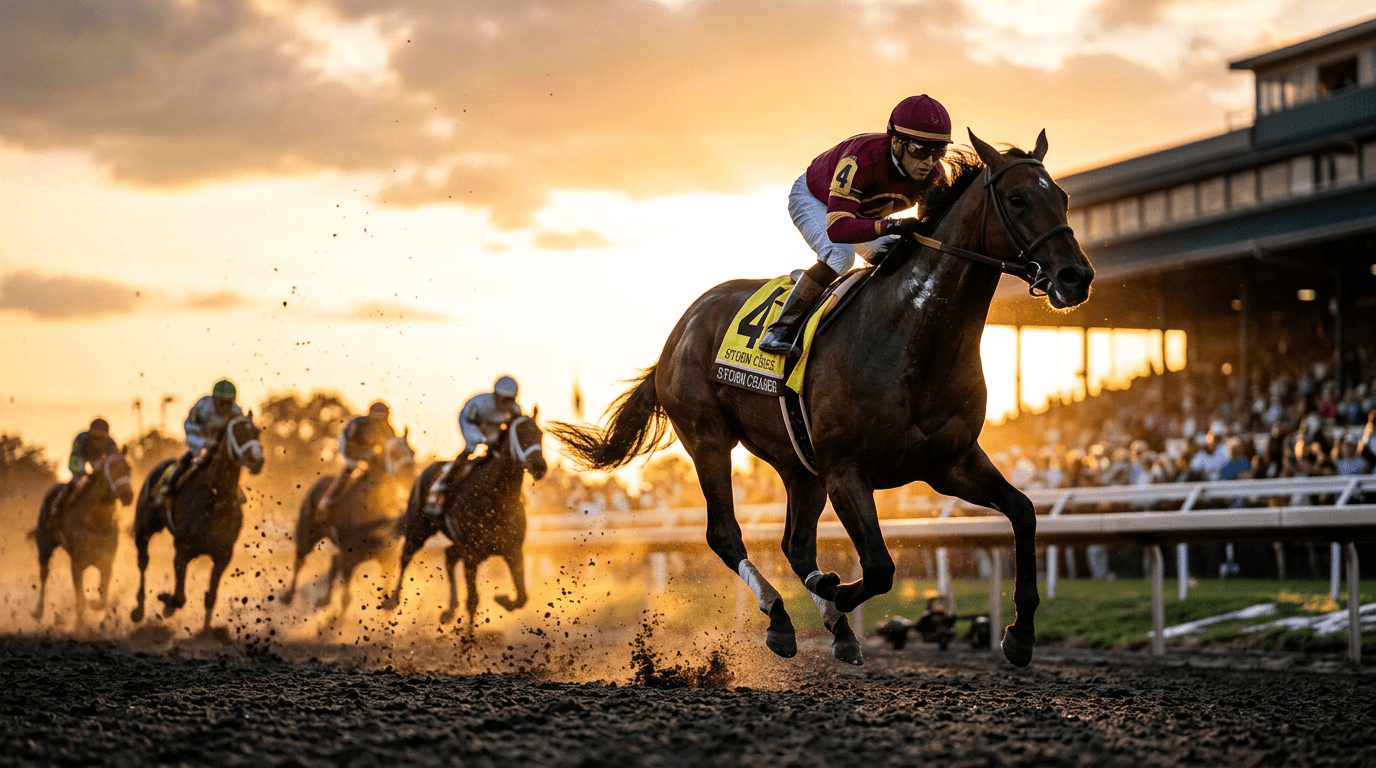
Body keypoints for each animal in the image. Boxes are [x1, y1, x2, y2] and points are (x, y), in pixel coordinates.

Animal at [31, 450, 135, 624]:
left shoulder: (107, 562)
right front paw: (80, 626)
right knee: (43, 575)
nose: (128, 495)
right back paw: (38, 611)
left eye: (129, 468)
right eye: (112, 468)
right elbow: (80, 601)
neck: (96, 522)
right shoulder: (77, 564)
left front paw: (95, 604)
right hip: (45, 546)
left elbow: (103, 599)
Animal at [130, 413, 265, 631]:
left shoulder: (224, 554)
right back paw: (138, 610)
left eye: (257, 431)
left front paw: (206, 630)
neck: (216, 498)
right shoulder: (183, 549)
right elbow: (179, 597)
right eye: (238, 432)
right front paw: (166, 603)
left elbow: (210, 597)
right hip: (144, 529)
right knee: (143, 562)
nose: (257, 460)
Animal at [282, 430, 417, 614]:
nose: (412, 476)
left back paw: (324, 600)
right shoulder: (350, 557)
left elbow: (385, 593)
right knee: (300, 561)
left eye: (412, 451)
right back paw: (288, 596)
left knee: (333, 562)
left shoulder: (388, 557)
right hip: (307, 533)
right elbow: (346, 597)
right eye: (394, 453)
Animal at [381, 411, 548, 627]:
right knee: (406, 557)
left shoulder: (513, 551)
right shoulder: (471, 555)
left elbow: (521, 597)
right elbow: (473, 600)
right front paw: (468, 636)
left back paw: (450, 609)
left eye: (540, 434)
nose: (540, 467)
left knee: (449, 556)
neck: (496, 499)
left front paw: (503, 599)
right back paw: (392, 600)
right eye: (520, 433)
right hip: (419, 529)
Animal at [551, 132, 1094, 667]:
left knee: (796, 545)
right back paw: (781, 616)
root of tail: (682, 326)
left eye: (1063, 197)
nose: (1075, 277)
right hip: (709, 438)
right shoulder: (846, 470)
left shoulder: (949, 463)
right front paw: (837, 591)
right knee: (726, 534)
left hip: (798, 464)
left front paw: (1020, 633)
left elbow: (1023, 511)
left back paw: (834, 626)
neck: (911, 336)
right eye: (1018, 199)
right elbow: (879, 567)